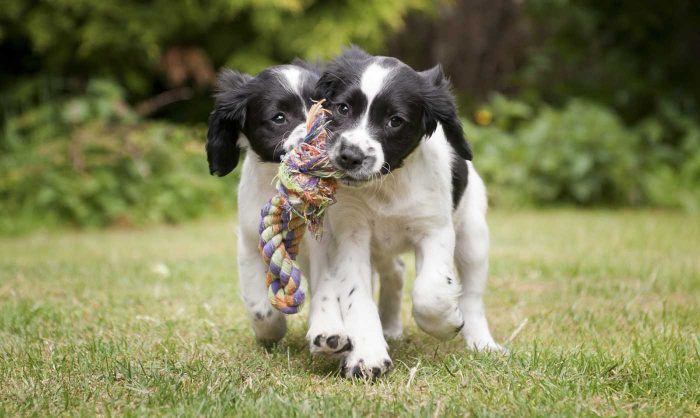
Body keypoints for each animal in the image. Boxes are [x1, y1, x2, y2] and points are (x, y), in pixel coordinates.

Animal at [308, 48, 500, 378]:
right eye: (343, 107)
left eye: (395, 121)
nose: (350, 157)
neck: (387, 186)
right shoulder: (350, 234)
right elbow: (357, 297)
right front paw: (368, 356)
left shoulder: (435, 230)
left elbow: (430, 292)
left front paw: (447, 321)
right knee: (395, 272)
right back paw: (390, 328)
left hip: (473, 236)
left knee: (473, 297)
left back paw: (482, 343)